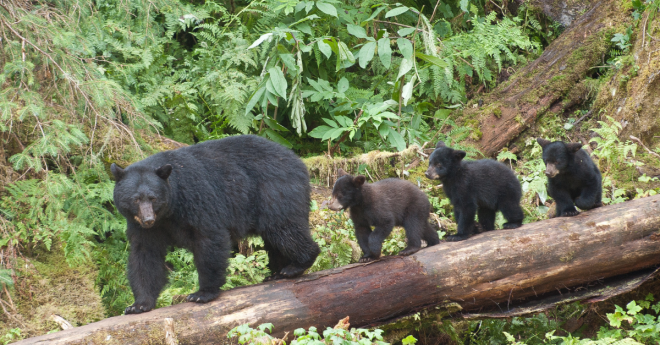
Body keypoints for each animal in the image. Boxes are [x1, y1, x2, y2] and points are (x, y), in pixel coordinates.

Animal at [111, 135, 320, 314]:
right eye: (135, 199)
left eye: (153, 198)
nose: (148, 219)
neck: (169, 211)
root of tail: (298, 162)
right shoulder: (144, 228)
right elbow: (145, 255)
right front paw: (139, 304)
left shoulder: (197, 199)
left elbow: (209, 238)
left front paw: (202, 293)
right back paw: (277, 272)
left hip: (275, 192)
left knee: (285, 229)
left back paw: (296, 265)